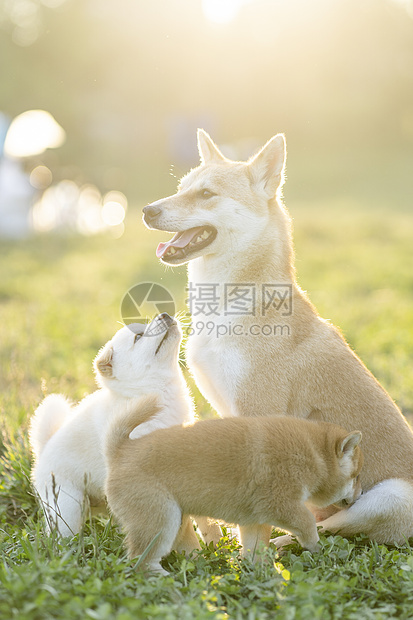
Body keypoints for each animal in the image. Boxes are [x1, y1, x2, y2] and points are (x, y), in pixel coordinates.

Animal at [104, 398, 362, 576]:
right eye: (357, 476)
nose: (361, 495)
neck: (314, 454)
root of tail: (121, 451)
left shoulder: (255, 520)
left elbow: (255, 547)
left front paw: (261, 571)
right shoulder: (282, 504)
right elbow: (307, 523)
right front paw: (316, 547)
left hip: (175, 518)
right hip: (160, 518)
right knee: (140, 559)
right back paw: (163, 576)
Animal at [142, 130, 412, 544]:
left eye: (206, 194)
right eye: (181, 188)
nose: (147, 210)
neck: (234, 302)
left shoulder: (257, 416)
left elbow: (256, 523)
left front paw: (249, 552)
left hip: (391, 497)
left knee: (325, 530)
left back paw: (284, 542)